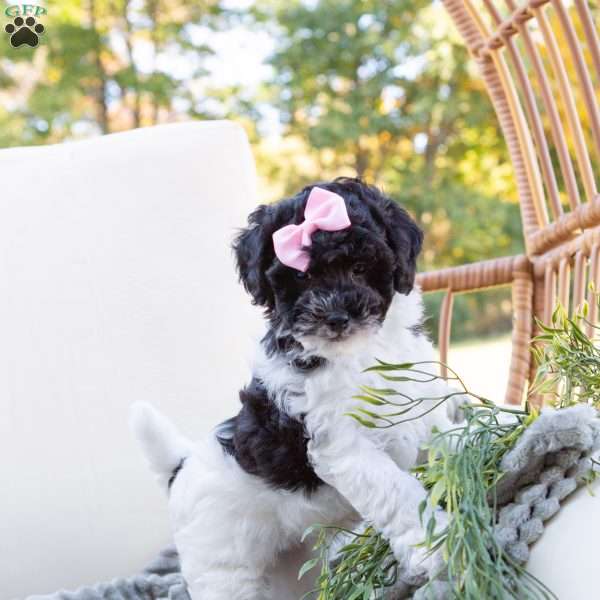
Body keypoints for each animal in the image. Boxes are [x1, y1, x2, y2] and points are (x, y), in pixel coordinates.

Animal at [130, 178, 460, 600]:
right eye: (300, 277)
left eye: (359, 267)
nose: (336, 316)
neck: (358, 353)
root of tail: (181, 465)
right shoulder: (343, 445)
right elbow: (395, 491)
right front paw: (433, 546)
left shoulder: (421, 403)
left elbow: (451, 438)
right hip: (224, 570)